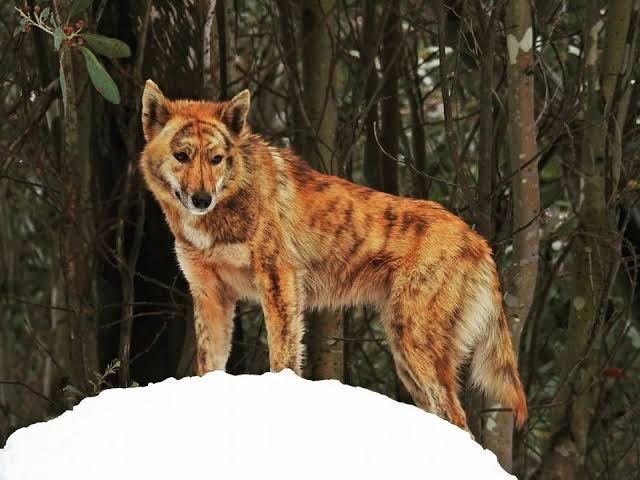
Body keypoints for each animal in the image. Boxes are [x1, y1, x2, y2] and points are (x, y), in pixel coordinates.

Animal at [139, 80, 524, 430]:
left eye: (216, 159)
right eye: (182, 156)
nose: (202, 199)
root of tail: (480, 242)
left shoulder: (278, 282)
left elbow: (282, 357)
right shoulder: (211, 295)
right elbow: (210, 364)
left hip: (415, 345)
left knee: (458, 419)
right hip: (405, 356)